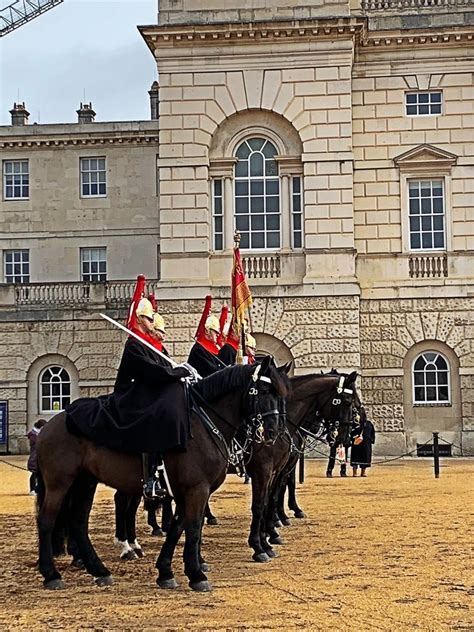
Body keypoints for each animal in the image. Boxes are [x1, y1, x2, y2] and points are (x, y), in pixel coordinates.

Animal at [36, 360, 288, 592]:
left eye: (281, 395)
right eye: (264, 391)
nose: (274, 431)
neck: (205, 424)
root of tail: (48, 426)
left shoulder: (189, 491)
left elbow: (178, 527)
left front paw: (166, 571)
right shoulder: (199, 488)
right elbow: (194, 527)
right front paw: (197, 574)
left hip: (85, 482)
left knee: (78, 522)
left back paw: (99, 570)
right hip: (60, 483)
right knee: (47, 521)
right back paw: (52, 574)